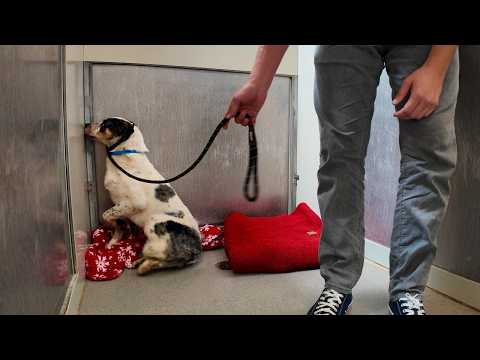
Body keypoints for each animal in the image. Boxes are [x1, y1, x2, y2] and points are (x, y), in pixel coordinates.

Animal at [84, 116, 201, 274]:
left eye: (105, 124)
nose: (85, 124)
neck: (124, 160)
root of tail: (197, 249)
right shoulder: (120, 205)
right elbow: (117, 220)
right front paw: (117, 236)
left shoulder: (134, 203)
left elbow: (106, 215)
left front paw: (117, 232)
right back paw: (140, 261)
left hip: (154, 221)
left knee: (161, 258)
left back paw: (145, 263)